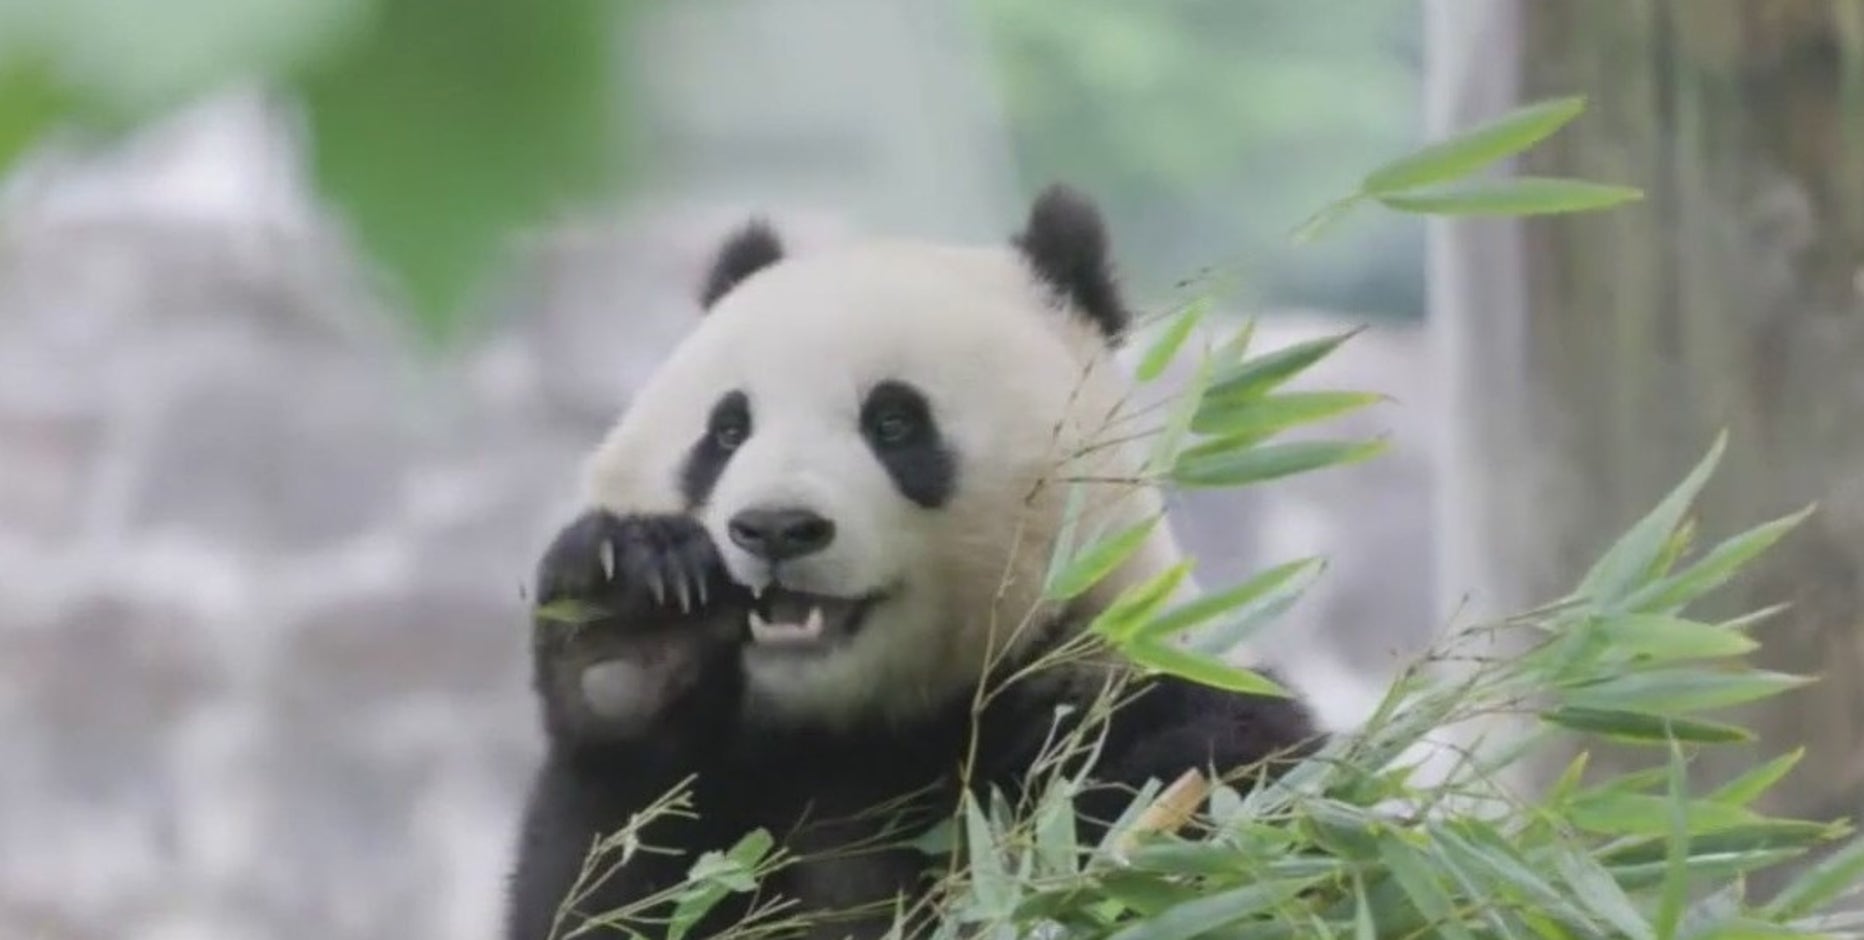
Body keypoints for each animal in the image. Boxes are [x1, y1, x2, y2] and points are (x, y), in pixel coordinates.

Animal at [504, 185, 1326, 940]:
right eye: (727, 429)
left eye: (894, 421)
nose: (775, 528)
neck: (850, 729)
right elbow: (605, 883)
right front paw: (633, 631)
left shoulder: (1128, 697)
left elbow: (1199, 833)